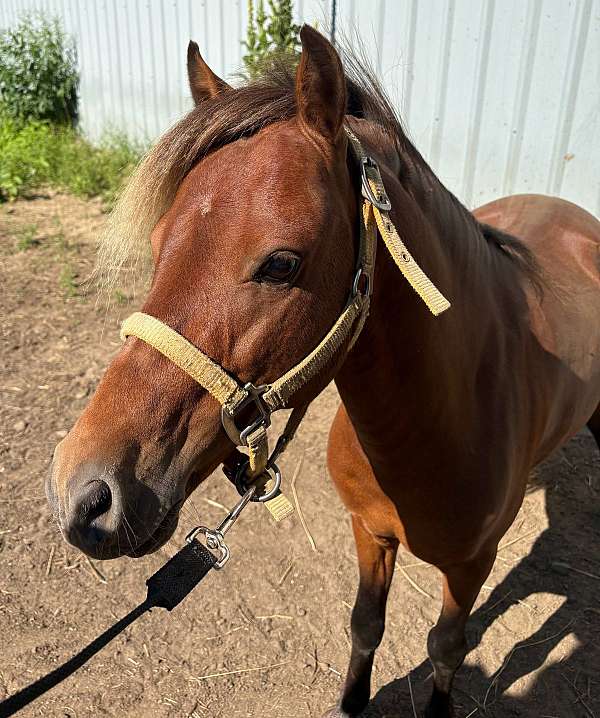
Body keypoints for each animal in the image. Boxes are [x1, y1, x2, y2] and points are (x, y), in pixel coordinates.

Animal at [46, 26, 600, 717]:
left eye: (282, 263)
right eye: (157, 245)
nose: (82, 493)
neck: (443, 422)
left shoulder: (473, 564)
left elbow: (447, 648)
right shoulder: (370, 533)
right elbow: (366, 624)